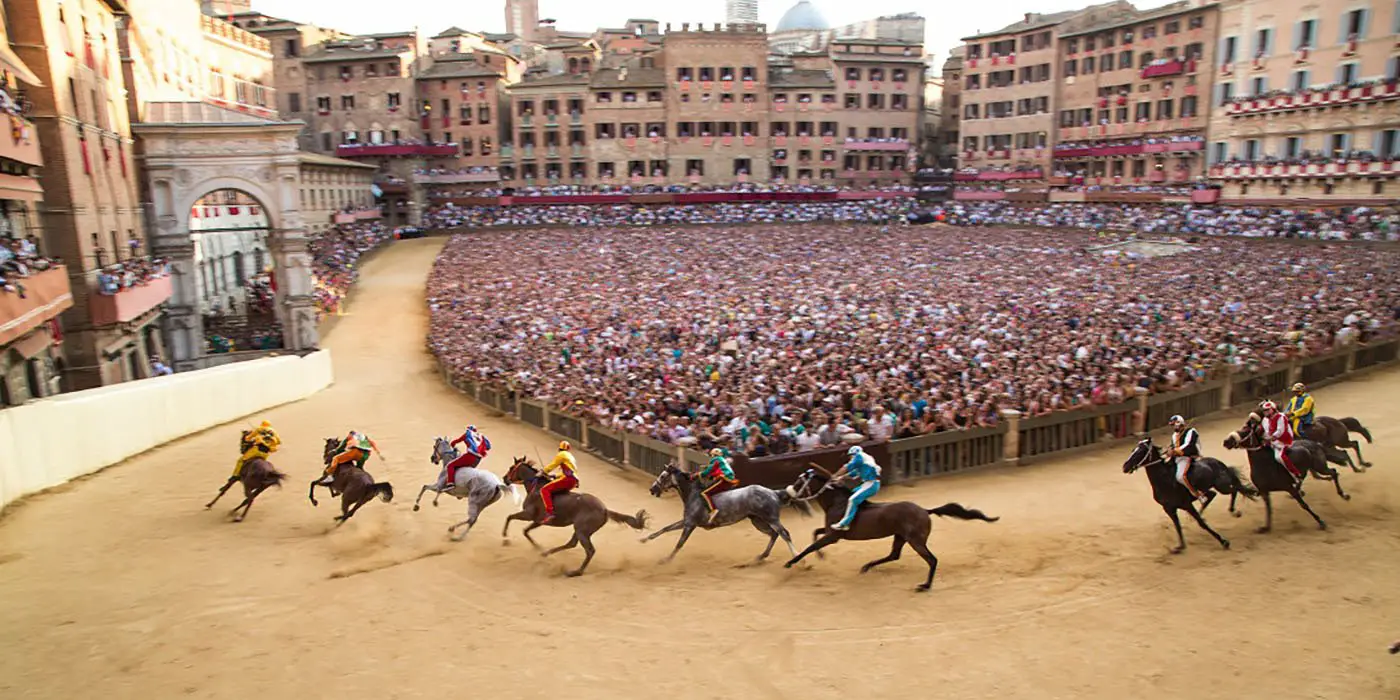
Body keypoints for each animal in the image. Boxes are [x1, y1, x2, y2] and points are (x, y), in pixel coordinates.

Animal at [501, 456, 646, 576]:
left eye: (511, 468)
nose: (504, 479)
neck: (536, 487)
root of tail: (604, 509)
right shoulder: (538, 520)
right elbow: (525, 531)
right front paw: (538, 547)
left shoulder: (529, 514)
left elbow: (510, 517)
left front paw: (505, 538)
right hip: (580, 529)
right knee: (571, 543)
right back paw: (547, 553)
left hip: (582, 530)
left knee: (589, 550)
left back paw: (575, 572)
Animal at [641, 459, 812, 568]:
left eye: (663, 476)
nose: (652, 489)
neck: (693, 494)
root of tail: (774, 492)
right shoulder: (686, 521)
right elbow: (665, 529)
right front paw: (644, 539)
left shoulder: (690, 525)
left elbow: (679, 543)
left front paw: (665, 560)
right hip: (758, 521)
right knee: (773, 534)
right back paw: (759, 558)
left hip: (771, 518)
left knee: (784, 534)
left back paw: (800, 561)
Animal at [784, 464, 1002, 590]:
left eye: (798, 482)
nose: (789, 495)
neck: (837, 501)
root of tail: (925, 511)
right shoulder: (831, 531)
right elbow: (814, 534)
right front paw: (820, 555)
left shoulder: (833, 535)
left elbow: (810, 546)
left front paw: (791, 562)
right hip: (900, 536)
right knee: (894, 555)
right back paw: (867, 566)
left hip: (915, 540)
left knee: (931, 560)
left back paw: (925, 585)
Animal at [1120, 436, 1265, 551]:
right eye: (1133, 450)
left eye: (1140, 451)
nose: (1125, 467)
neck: (1165, 480)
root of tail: (1218, 463)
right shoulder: (1169, 509)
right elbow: (1177, 526)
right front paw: (1180, 546)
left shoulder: (1186, 504)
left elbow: (1201, 524)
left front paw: (1224, 541)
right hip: (1210, 488)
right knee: (1213, 494)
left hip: (1222, 486)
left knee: (1235, 490)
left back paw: (1235, 510)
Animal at [1220, 414, 1349, 529]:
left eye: (1244, 431)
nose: (1226, 441)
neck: (1265, 464)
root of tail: (1313, 443)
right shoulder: (1263, 491)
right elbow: (1268, 508)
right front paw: (1265, 527)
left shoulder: (1288, 487)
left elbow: (1303, 505)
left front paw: (1320, 522)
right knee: (1313, 475)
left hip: (1320, 466)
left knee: (1333, 472)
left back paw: (1344, 494)